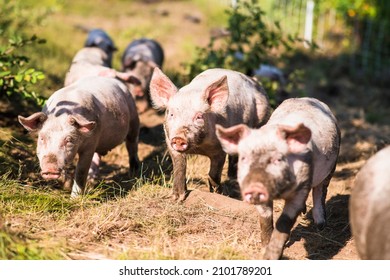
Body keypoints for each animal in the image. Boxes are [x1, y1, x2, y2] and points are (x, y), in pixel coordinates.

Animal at [148, 68, 270, 201]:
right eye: (171, 114)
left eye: (199, 116)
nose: (179, 138)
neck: (199, 147)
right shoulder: (169, 141)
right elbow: (179, 167)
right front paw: (177, 198)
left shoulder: (220, 150)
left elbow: (214, 174)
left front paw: (218, 194)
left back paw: (233, 180)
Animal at [216, 97, 342, 260]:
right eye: (244, 158)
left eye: (278, 159)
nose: (256, 186)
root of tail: (308, 99)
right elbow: (265, 219)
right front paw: (264, 249)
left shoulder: (301, 187)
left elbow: (284, 222)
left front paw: (271, 256)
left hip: (332, 165)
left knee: (320, 191)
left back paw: (320, 225)